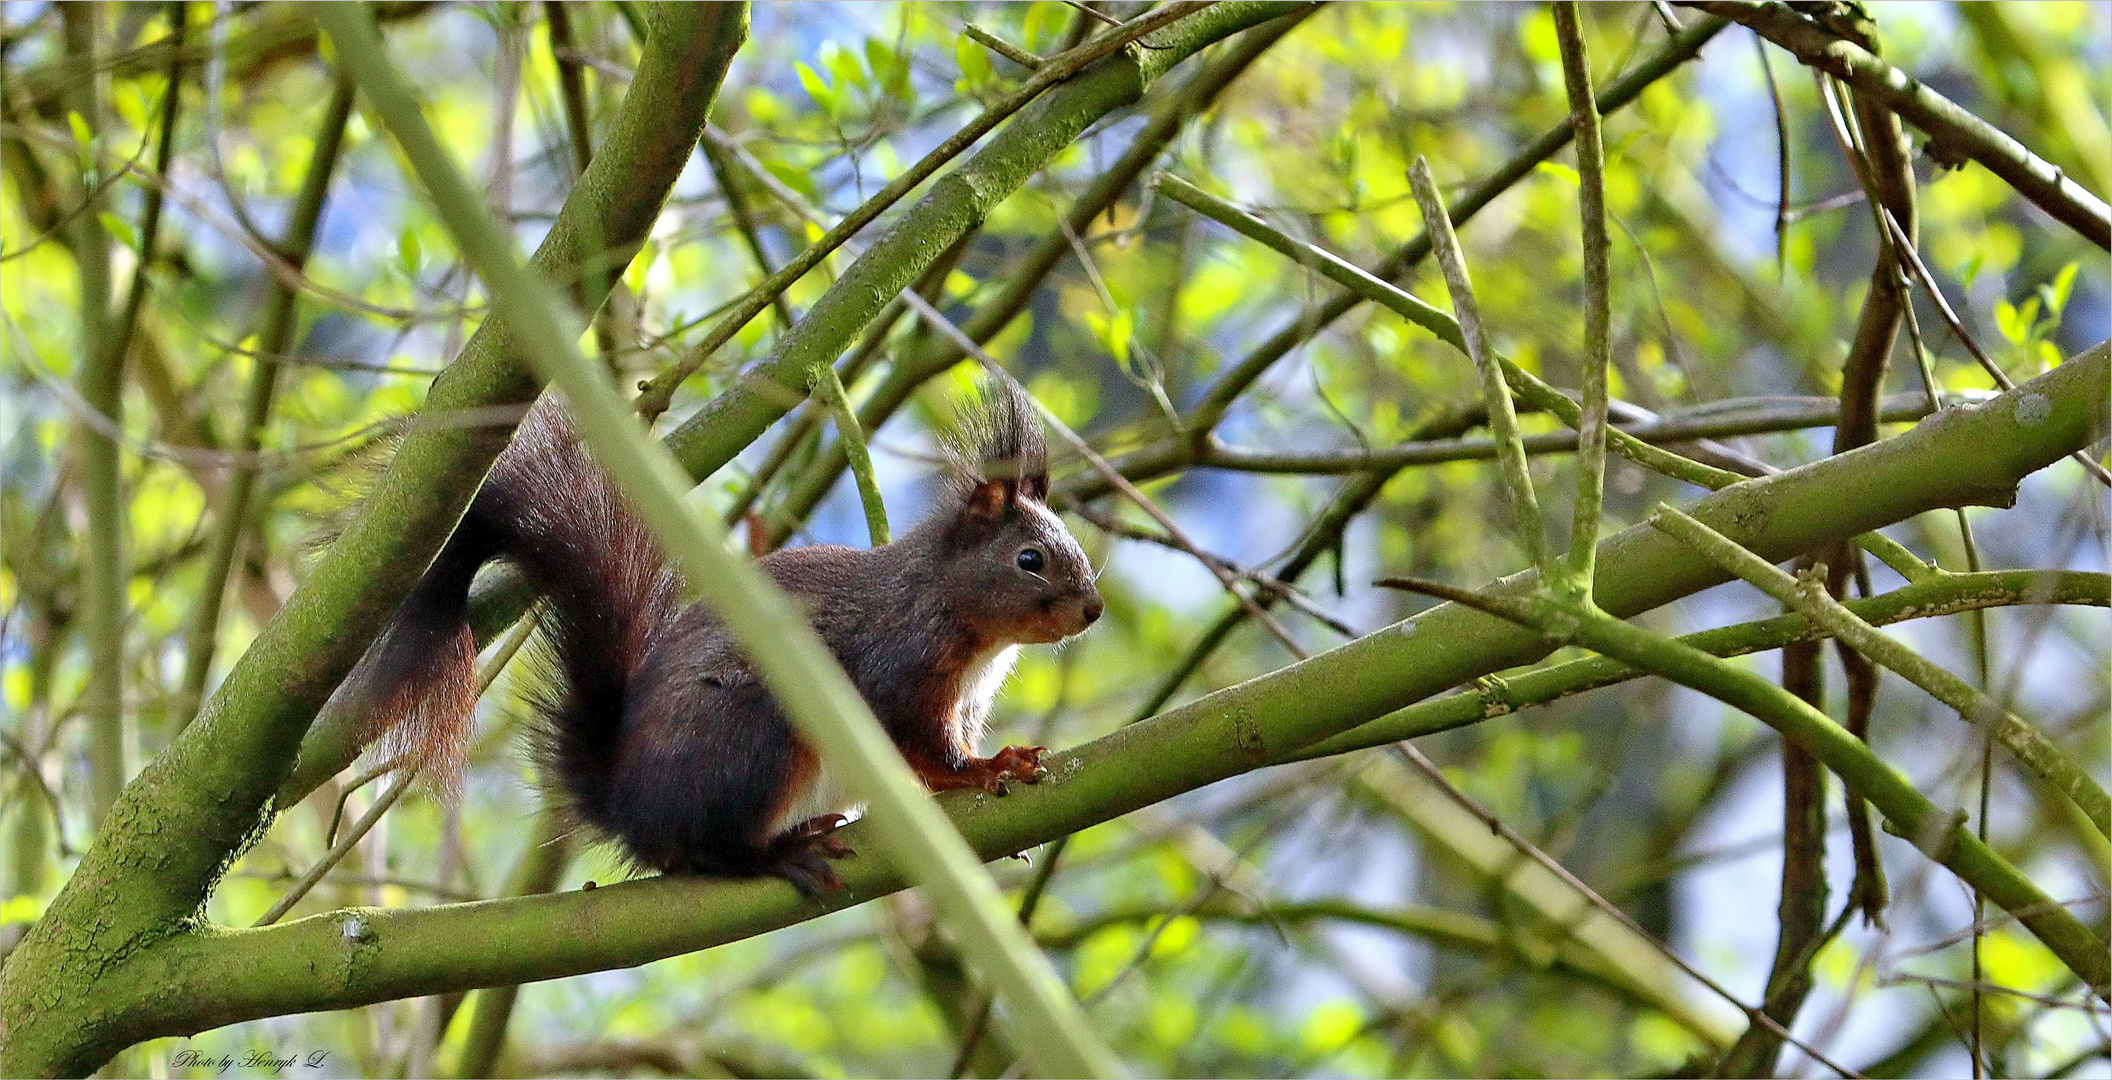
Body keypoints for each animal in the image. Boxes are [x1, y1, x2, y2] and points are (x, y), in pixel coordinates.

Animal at [337, 380, 1106, 896]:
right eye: (1030, 559)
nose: (1094, 610)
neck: (959, 615)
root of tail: (628, 806)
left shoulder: (966, 700)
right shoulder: (899, 669)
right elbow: (923, 747)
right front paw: (988, 768)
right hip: (755, 734)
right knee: (706, 852)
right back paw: (775, 855)